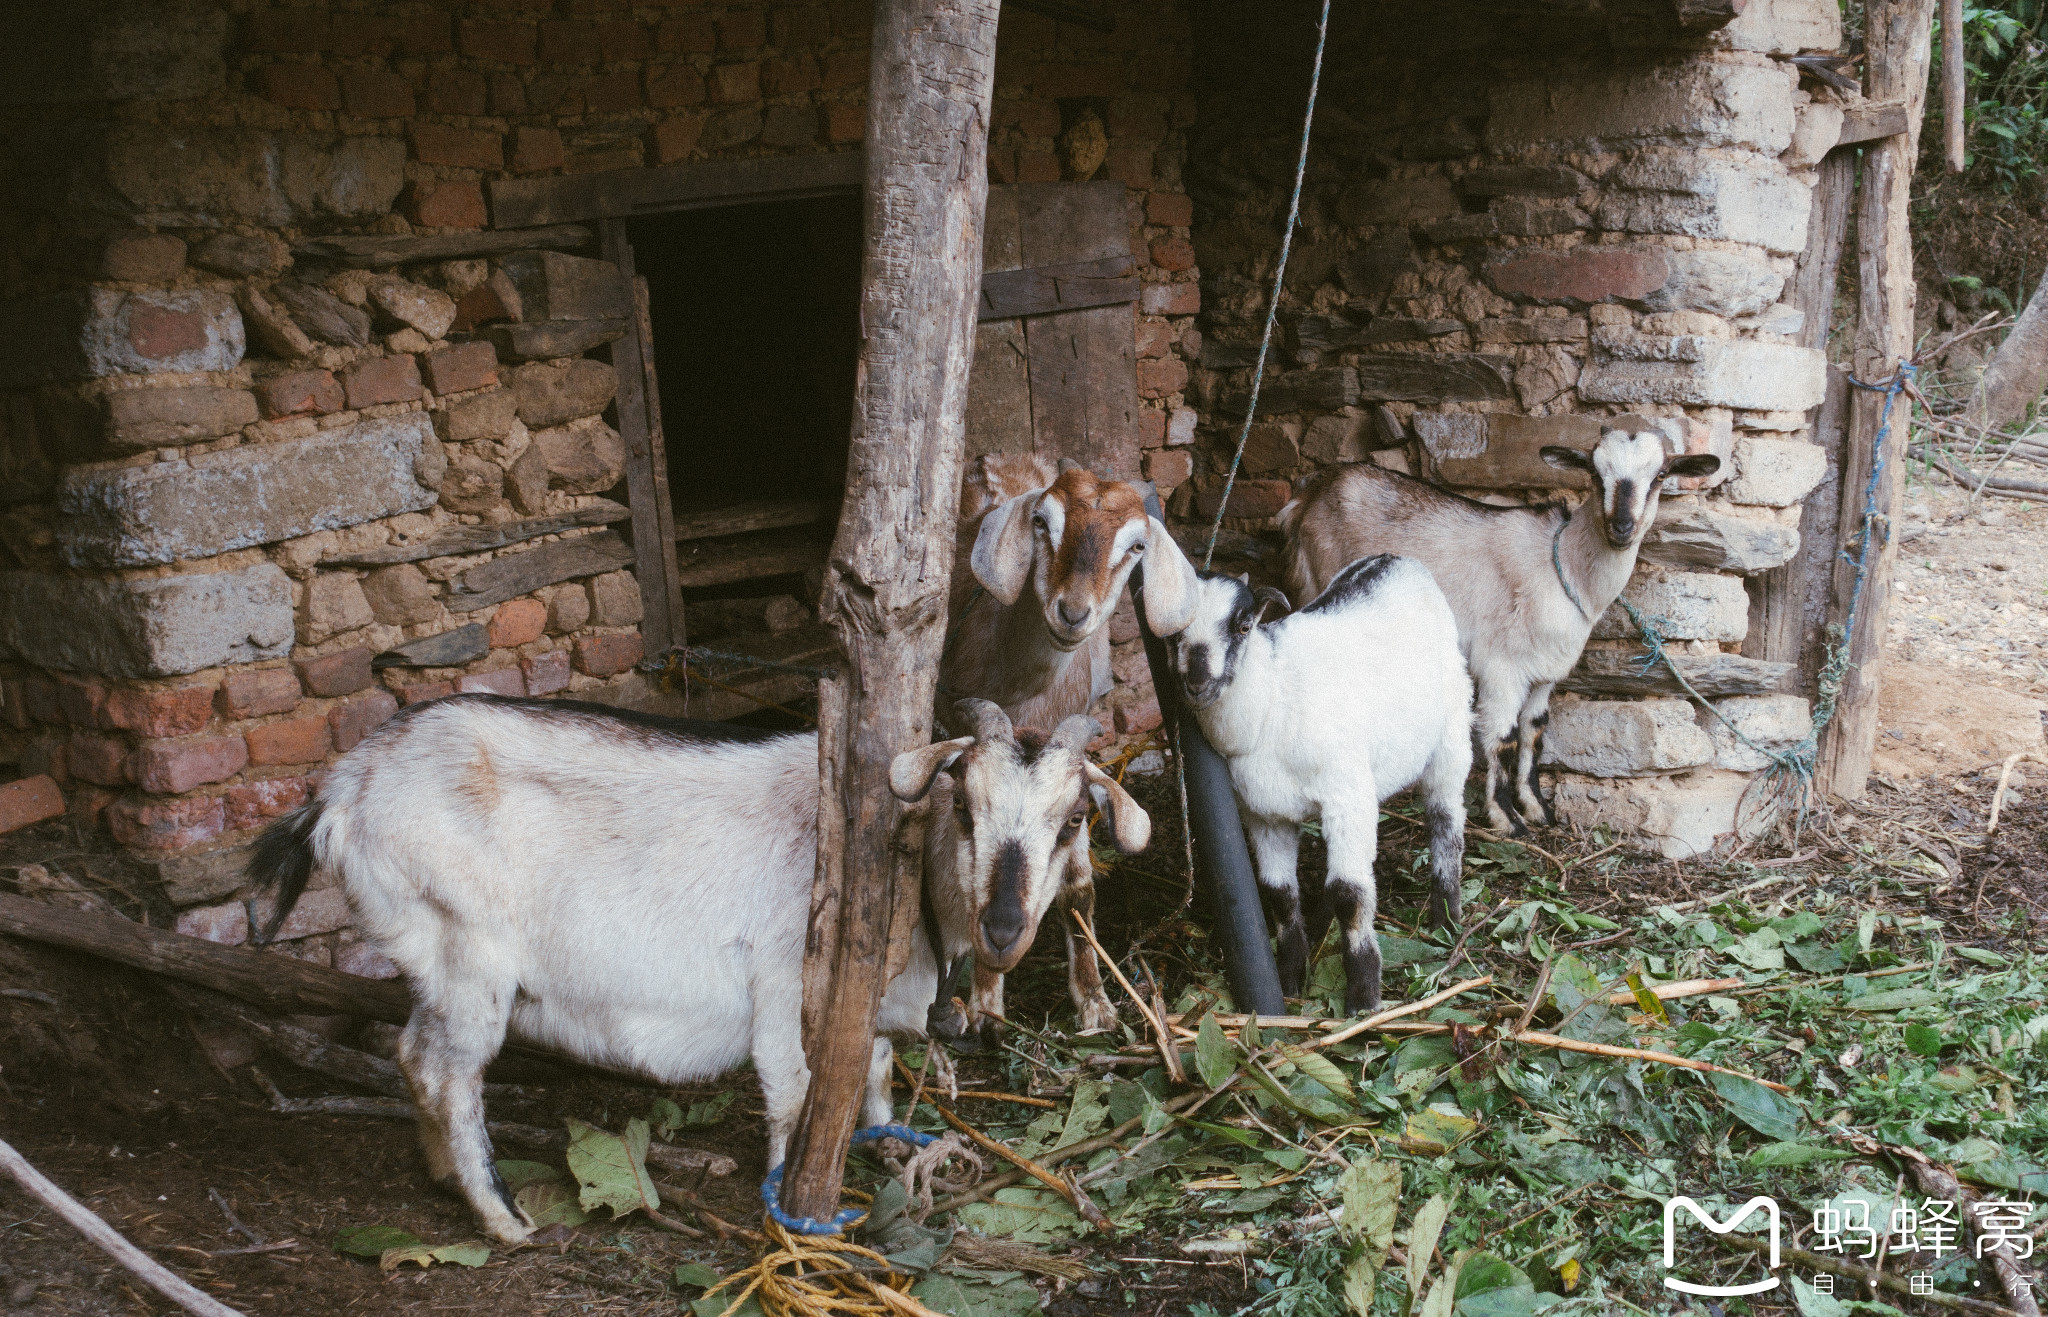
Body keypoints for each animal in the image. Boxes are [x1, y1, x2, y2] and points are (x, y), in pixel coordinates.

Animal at [245, 696, 1146, 1245]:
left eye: (1073, 820)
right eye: (964, 806)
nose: (1003, 927)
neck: (901, 878)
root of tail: (339, 794)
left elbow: (875, 1069)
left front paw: (889, 1152)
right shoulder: (785, 986)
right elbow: (794, 1092)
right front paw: (794, 1209)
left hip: (433, 961)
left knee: (408, 1052)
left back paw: (441, 1176)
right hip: (471, 955)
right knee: (446, 1072)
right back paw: (501, 1216)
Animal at [937, 452, 1196, 1040]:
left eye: (1137, 546)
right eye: (1041, 522)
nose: (1073, 613)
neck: (1024, 693)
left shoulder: (1072, 760)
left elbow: (1078, 883)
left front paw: (1096, 1003)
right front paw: (985, 1005)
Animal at [1155, 540, 1474, 1015]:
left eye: (1244, 625)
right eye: (1173, 634)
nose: (1196, 681)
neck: (1270, 700)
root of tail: (1395, 559)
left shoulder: (1347, 795)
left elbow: (1349, 893)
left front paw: (1363, 997)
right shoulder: (1263, 814)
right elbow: (1278, 894)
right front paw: (1290, 977)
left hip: (1451, 734)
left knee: (1445, 820)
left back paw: (1445, 920)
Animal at [1286, 430, 1720, 835]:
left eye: (1660, 475)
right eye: (1596, 474)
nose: (1622, 527)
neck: (1563, 566)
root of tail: (1312, 491)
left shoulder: (1546, 673)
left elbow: (1534, 733)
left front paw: (1539, 808)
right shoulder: (1502, 666)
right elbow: (1504, 736)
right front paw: (1507, 818)